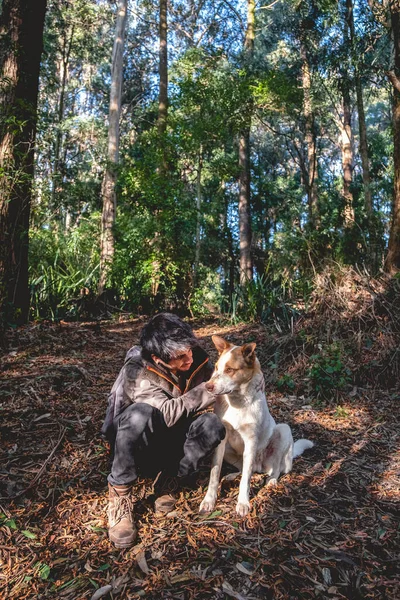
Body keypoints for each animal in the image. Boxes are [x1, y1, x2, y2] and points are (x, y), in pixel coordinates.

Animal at [199, 336, 312, 516]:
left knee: (274, 469)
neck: (237, 402)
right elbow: (214, 473)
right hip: (230, 451)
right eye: (216, 367)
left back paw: (271, 481)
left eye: (230, 369)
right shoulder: (221, 441)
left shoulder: (251, 441)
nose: (207, 386)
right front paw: (209, 500)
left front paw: (243, 503)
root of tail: (260, 466)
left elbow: (246, 479)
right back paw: (231, 476)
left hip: (283, 431)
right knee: (245, 468)